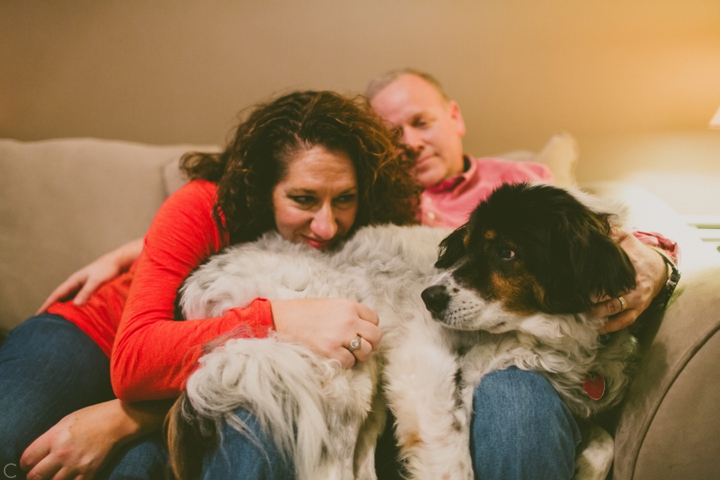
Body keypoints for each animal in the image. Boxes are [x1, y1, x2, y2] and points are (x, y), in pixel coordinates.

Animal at [169, 183, 640, 480]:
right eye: (466, 246)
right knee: (331, 471)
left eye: (506, 253)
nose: (429, 297)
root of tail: (199, 284)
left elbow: (604, 444)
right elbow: (451, 463)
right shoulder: (422, 368)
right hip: (345, 369)